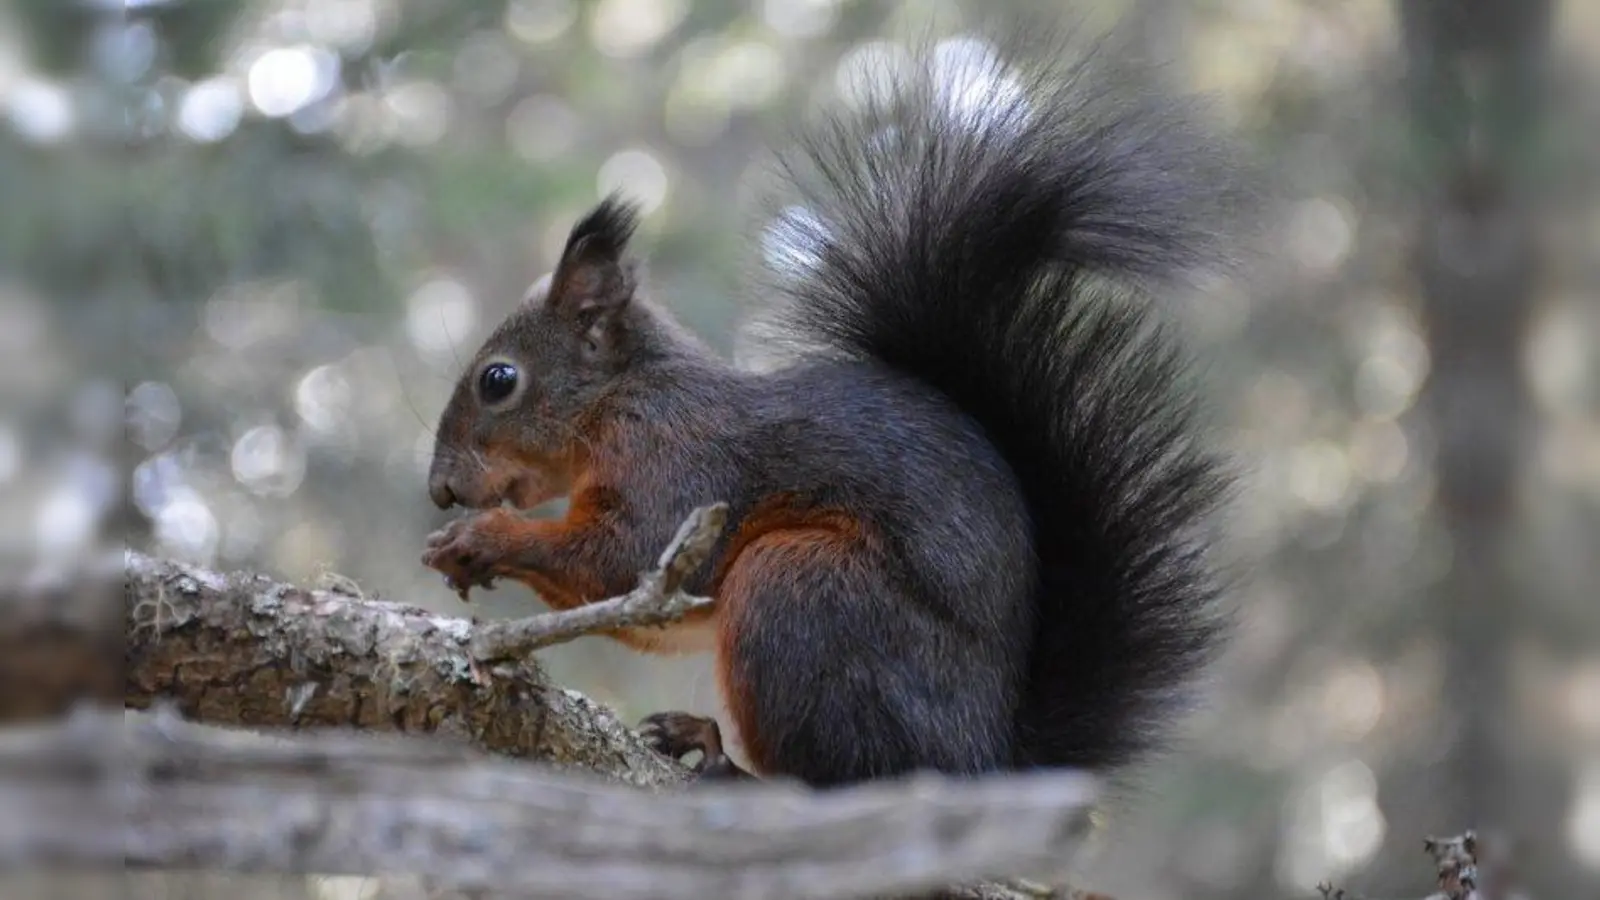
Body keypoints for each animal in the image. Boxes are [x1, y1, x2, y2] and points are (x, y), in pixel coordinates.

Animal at [421, 27, 1242, 788]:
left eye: (499, 380)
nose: (441, 488)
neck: (620, 398)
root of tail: (982, 763)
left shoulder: (678, 459)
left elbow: (625, 559)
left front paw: (483, 537)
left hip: (804, 594)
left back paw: (725, 764)